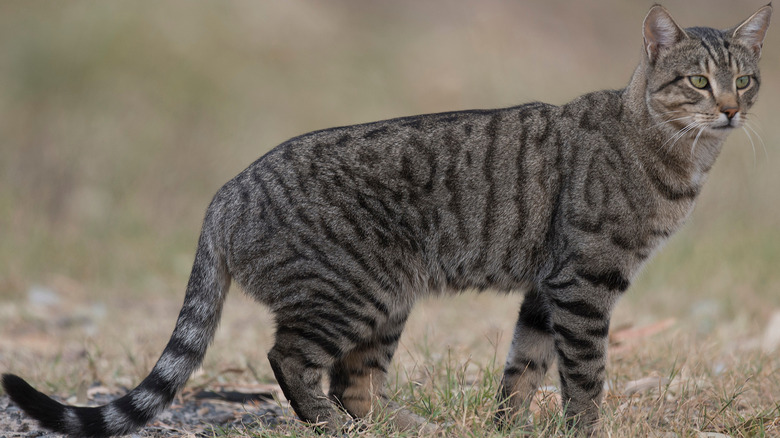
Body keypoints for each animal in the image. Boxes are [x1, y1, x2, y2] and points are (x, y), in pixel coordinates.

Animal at [0, 4, 772, 438]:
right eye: (698, 82)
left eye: (746, 79)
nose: (732, 109)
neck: (678, 155)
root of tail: (224, 194)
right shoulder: (584, 280)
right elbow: (584, 377)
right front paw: (584, 430)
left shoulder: (545, 287)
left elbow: (523, 369)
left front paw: (507, 429)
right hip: (355, 292)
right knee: (293, 360)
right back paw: (325, 427)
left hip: (386, 303)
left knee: (356, 383)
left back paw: (412, 429)